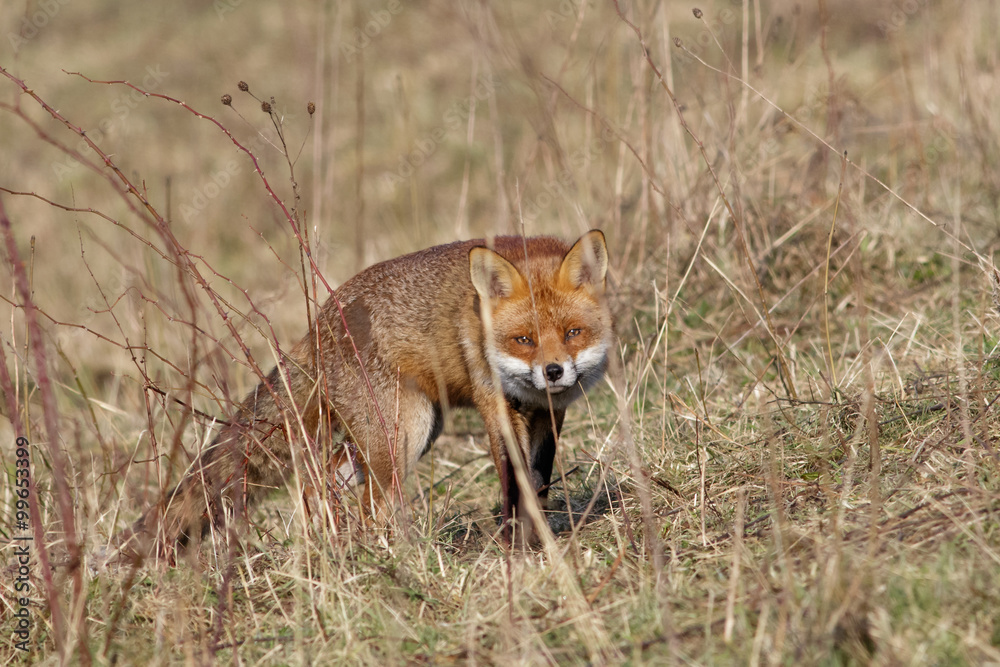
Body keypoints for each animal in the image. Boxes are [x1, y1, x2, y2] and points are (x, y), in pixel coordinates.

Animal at [119, 229, 611, 557]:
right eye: (523, 339)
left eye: (573, 333)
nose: (553, 371)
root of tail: (322, 319)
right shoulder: (498, 408)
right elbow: (517, 481)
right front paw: (517, 545)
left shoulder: (550, 414)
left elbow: (540, 478)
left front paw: (536, 535)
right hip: (404, 432)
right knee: (371, 504)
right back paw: (395, 554)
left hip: (408, 432)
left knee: (320, 481)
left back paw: (331, 544)